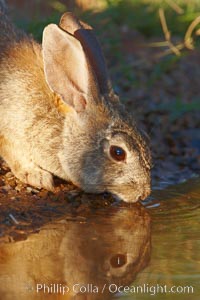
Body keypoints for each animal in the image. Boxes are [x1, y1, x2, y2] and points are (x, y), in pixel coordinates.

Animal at [0, 1, 151, 202]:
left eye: (146, 136)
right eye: (118, 153)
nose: (144, 193)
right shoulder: (10, 130)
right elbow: (14, 153)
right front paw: (37, 176)